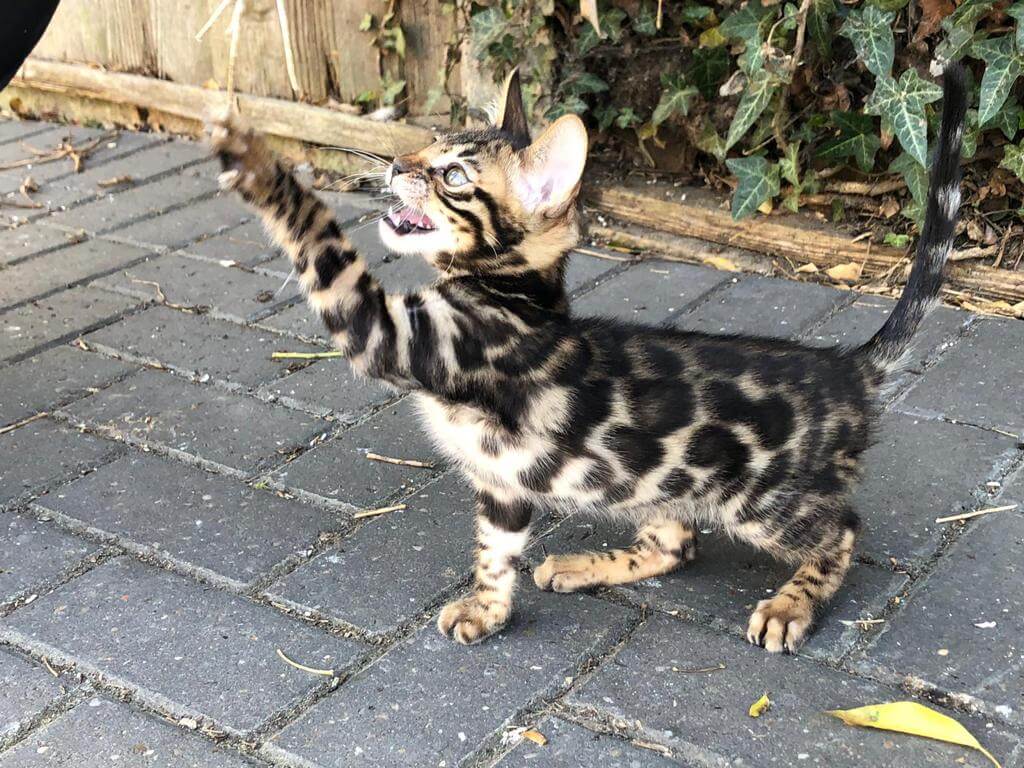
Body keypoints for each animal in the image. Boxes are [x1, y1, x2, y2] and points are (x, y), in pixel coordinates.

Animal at [209, 66, 966, 651]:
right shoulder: (503, 482)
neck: (516, 294)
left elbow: (318, 237)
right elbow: (495, 555)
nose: (397, 166)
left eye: (452, 174)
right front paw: (489, 611)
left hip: (763, 501)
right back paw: (583, 566)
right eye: (429, 144)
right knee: (677, 544)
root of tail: (849, 366)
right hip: (655, 482)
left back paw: (790, 605)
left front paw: (253, 159)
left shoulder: (391, 333)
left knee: (841, 532)